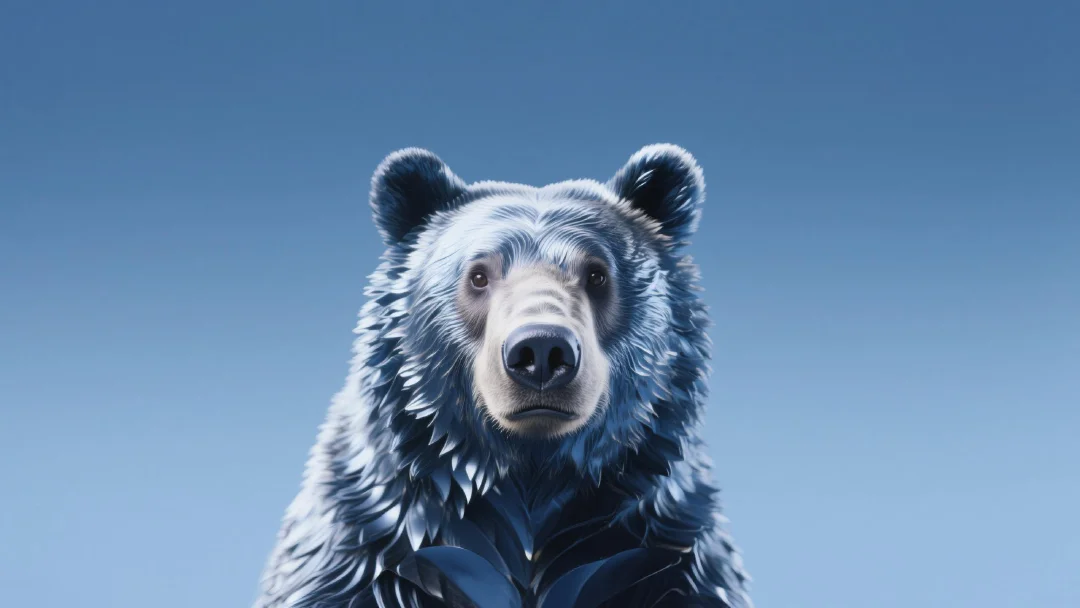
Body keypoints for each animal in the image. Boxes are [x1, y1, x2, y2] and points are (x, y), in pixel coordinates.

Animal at [254, 145, 752, 608]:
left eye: (597, 273)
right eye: (478, 275)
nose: (542, 351)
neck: (530, 475)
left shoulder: (664, 551)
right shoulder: (368, 547)